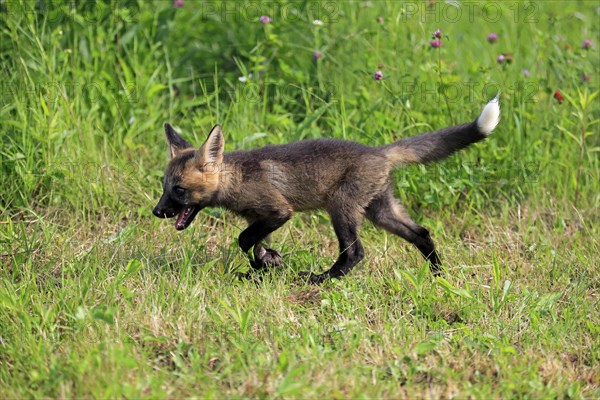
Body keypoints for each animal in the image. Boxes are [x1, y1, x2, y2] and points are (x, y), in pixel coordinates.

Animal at [152, 98, 500, 282]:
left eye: (179, 190)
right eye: (163, 187)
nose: (157, 211)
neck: (237, 179)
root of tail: (380, 151)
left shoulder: (278, 211)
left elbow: (244, 240)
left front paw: (265, 264)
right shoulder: (259, 218)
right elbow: (255, 244)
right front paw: (265, 264)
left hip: (341, 207)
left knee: (355, 253)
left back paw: (322, 278)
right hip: (380, 211)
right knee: (422, 233)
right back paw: (438, 274)